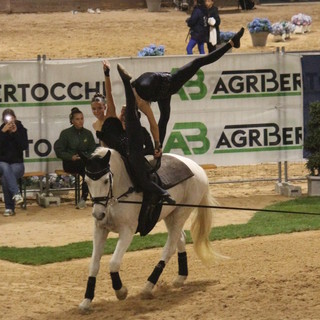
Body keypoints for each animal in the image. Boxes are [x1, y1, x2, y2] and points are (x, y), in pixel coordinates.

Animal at [79, 147, 218, 310]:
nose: (98, 214)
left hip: (181, 214)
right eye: (86, 181)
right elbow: (94, 265)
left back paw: (148, 287)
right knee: (180, 239)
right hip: (170, 216)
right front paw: (86, 300)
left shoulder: (127, 231)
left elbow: (113, 263)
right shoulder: (100, 229)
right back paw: (180, 277)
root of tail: (197, 168)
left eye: (106, 180)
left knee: (169, 248)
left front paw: (121, 291)